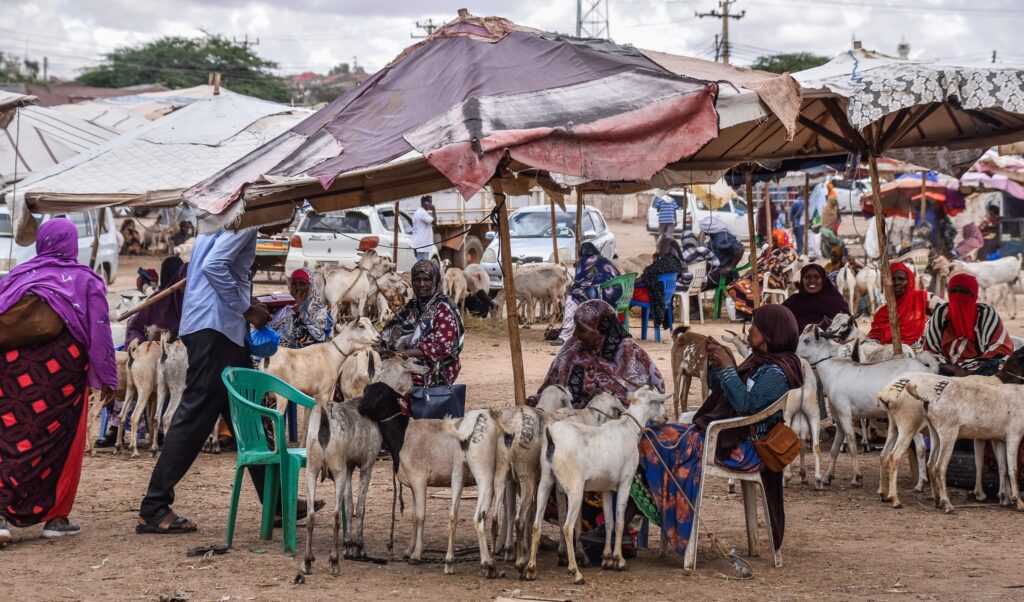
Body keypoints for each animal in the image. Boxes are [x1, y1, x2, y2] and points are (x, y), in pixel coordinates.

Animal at [299, 354, 423, 577]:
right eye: (409, 373)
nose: (411, 392)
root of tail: (324, 420)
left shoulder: (349, 467)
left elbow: (349, 504)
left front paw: (349, 547)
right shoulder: (367, 464)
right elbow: (361, 506)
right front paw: (359, 547)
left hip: (312, 469)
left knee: (312, 514)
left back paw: (307, 561)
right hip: (337, 469)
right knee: (335, 514)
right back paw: (334, 562)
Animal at [528, 387, 671, 585]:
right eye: (660, 402)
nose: (666, 418)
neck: (628, 428)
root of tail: (552, 437)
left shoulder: (607, 489)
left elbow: (609, 522)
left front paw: (607, 559)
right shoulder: (625, 482)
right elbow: (619, 522)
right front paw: (619, 561)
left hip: (545, 482)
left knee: (536, 524)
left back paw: (530, 570)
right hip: (575, 489)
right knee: (567, 527)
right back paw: (576, 572)